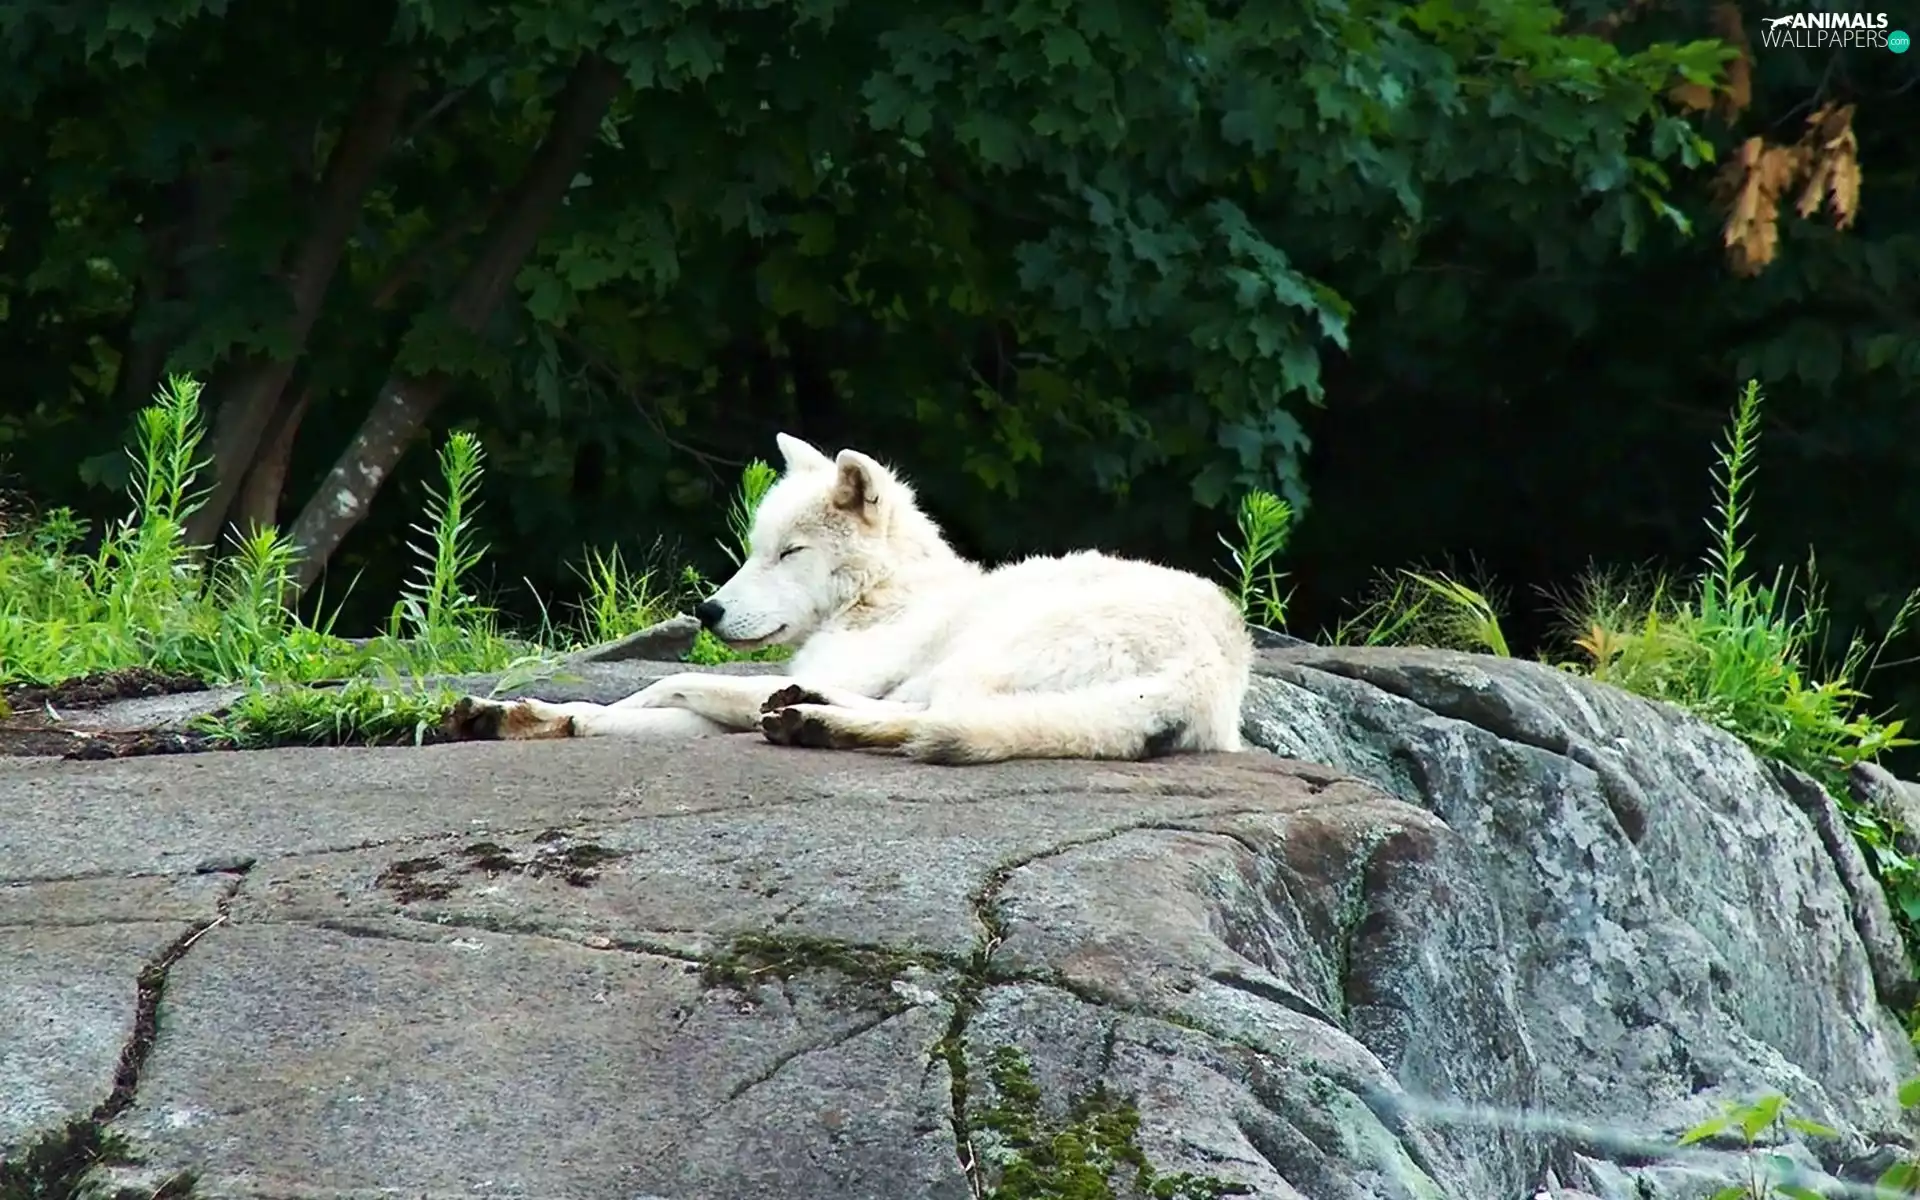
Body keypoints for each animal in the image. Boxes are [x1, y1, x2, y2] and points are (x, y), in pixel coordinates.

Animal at [445, 433, 1255, 764]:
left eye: (789, 553)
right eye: (753, 549)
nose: (707, 613)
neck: (886, 595)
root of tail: (1213, 672)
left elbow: (663, 683)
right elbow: (614, 710)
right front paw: (515, 716)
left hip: (984, 652)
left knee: (937, 719)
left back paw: (813, 717)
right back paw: (811, 719)